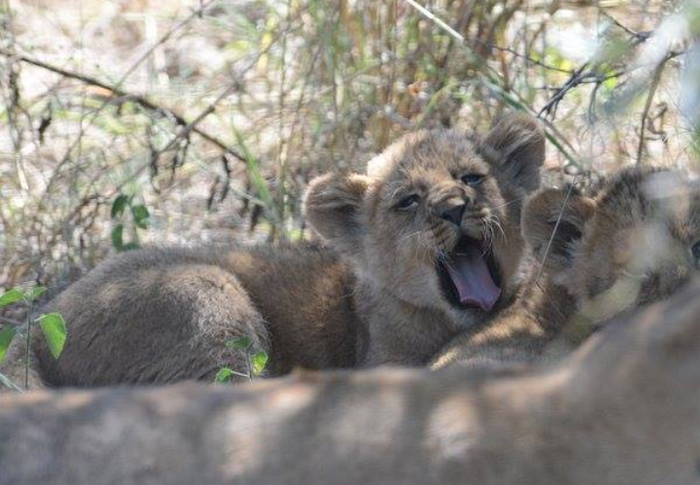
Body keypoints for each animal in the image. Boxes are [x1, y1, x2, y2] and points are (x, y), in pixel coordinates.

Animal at [28, 112, 544, 387]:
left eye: (472, 178)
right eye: (408, 202)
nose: (454, 209)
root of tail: (37, 324)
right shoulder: (381, 367)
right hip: (206, 295)